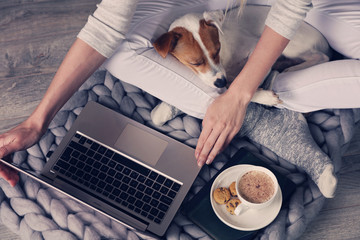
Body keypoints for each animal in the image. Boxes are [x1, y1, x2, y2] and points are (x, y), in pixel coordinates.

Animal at [150, 5, 330, 125]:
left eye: (217, 49)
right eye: (195, 62)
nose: (220, 82)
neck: (225, 58)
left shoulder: (255, 49)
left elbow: (242, 84)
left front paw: (262, 94)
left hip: (291, 46)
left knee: (323, 56)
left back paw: (293, 67)